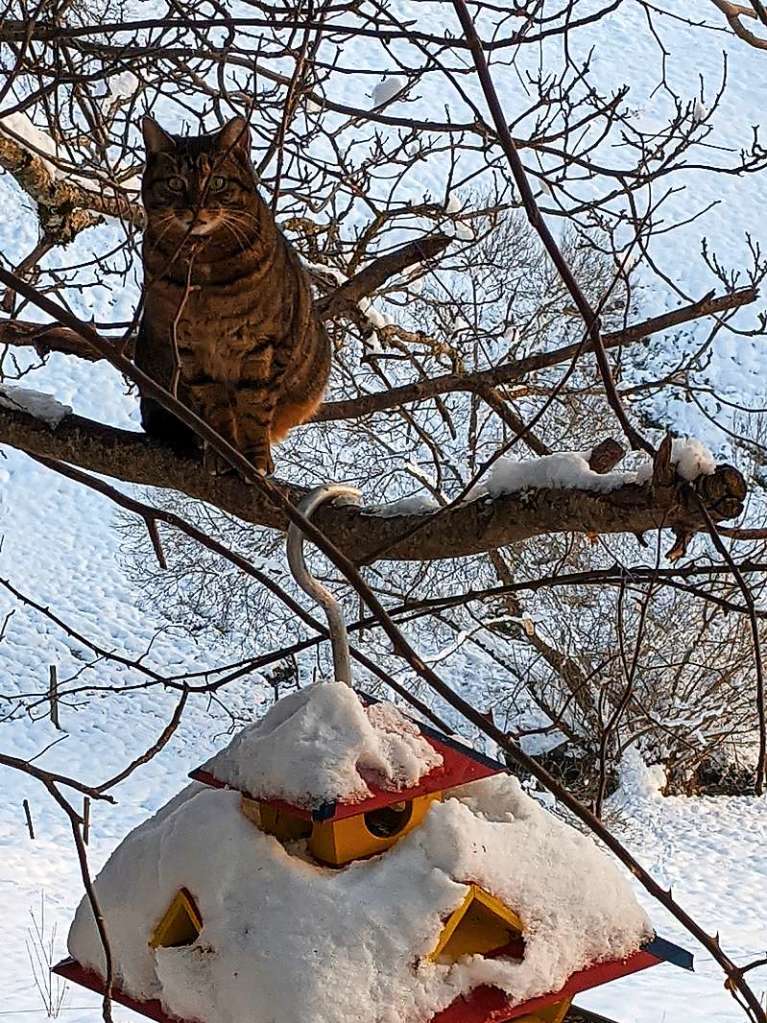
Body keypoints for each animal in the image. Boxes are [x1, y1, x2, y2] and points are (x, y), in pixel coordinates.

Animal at [133, 116, 331, 474]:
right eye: (175, 183)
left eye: (217, 182)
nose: (195, 208)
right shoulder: (190, 350)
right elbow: (215, 407)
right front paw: (221, 450)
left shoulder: (262, 346)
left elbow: (254, 408)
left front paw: (255, 457)